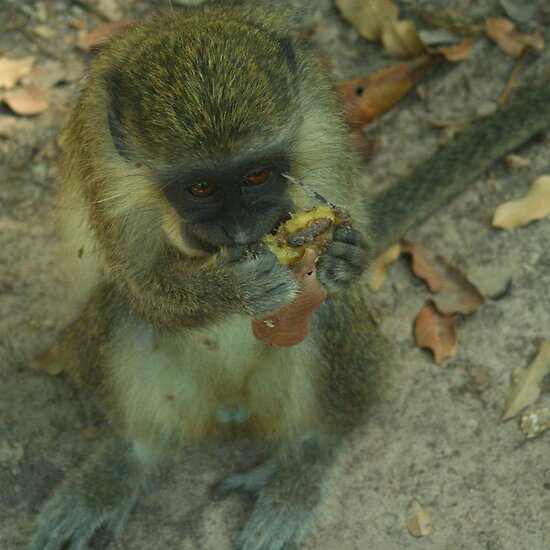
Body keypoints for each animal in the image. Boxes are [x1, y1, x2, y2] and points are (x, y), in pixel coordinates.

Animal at [31, 4, 392, 550]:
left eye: (257, 175)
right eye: (200, 187)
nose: (241, 233)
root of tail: (230, 406)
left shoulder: (322, 122)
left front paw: (348, 256)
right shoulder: (101, 162)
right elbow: (141, 287)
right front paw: (236, 288)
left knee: (328, 313)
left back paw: (307, 459)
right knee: (120, 308)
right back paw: (124, 460)